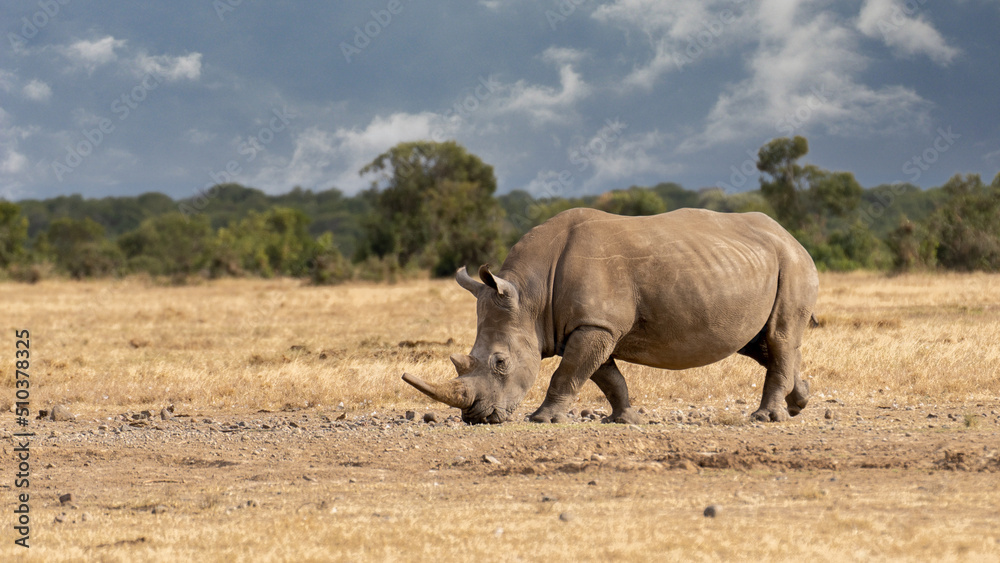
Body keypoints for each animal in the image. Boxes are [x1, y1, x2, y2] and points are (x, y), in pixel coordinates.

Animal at [402, 207, 818, 424]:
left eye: (501, 362)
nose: (478, 417)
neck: (532, 297)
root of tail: (791, 235)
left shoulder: (595, 325)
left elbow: (567, 374)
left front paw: (543, 419)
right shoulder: (592, 326)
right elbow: (605, 377)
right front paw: (624, 419)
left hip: (793, 263)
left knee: (779, 337)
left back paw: (766, 417)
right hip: (757, 264)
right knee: (760, 344)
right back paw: (798, 403)